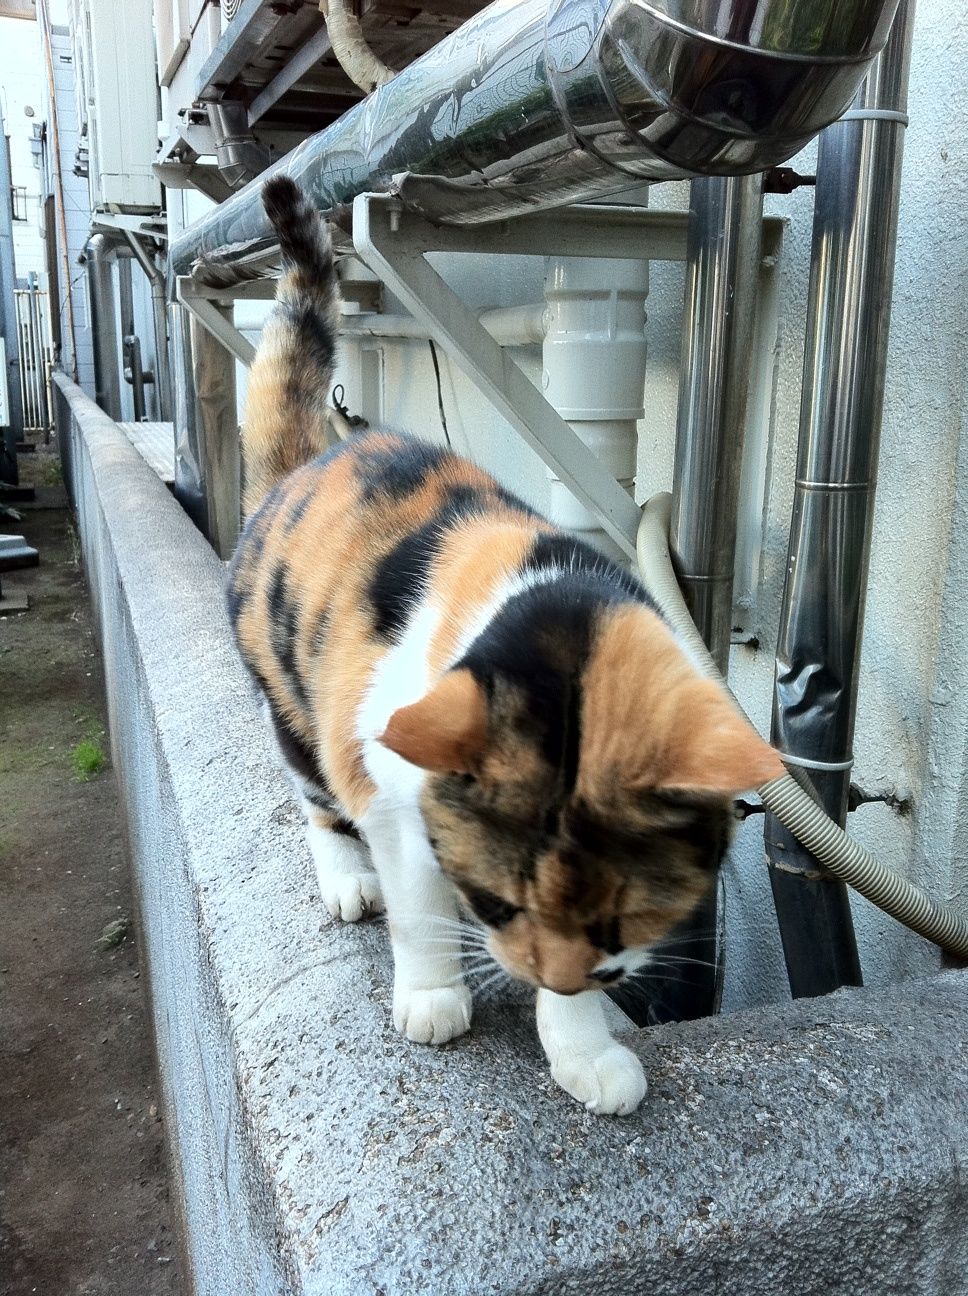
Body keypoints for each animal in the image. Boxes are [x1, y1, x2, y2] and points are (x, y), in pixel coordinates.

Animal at [225, 177, 777, 1119]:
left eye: (620, 922)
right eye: (495, 901)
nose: (548, 977)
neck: (553, 611)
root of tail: (298, 473)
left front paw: (585, 1046)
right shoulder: (388, 782)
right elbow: (416, 905)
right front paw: (434, 997)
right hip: (295, 702)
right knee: (314, 794)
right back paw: (348, 881)